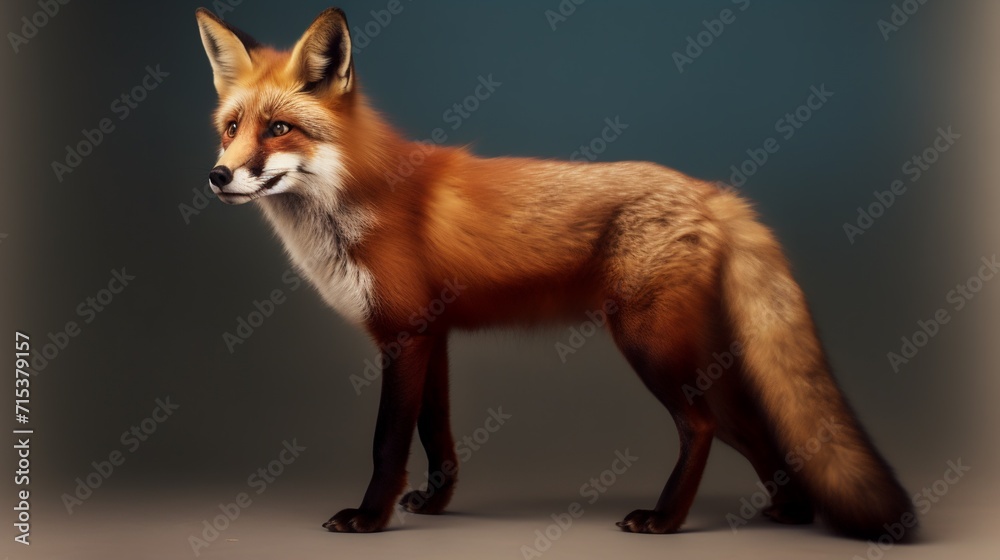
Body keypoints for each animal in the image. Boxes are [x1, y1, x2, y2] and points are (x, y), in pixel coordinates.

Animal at [195, 7, 915, 538]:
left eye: (279, 129)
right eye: (231, 128)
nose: (219, 176)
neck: (358, 195)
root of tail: (713, 193)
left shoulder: (403, 335)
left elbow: (388, 443)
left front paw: (370, 518)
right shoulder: (434, 336)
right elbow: (437, 434)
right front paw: (435, 504)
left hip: (650, 345)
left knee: (703, 426)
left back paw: (666, 520)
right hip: (699, 354)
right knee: (757, 429)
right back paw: (788, 512)